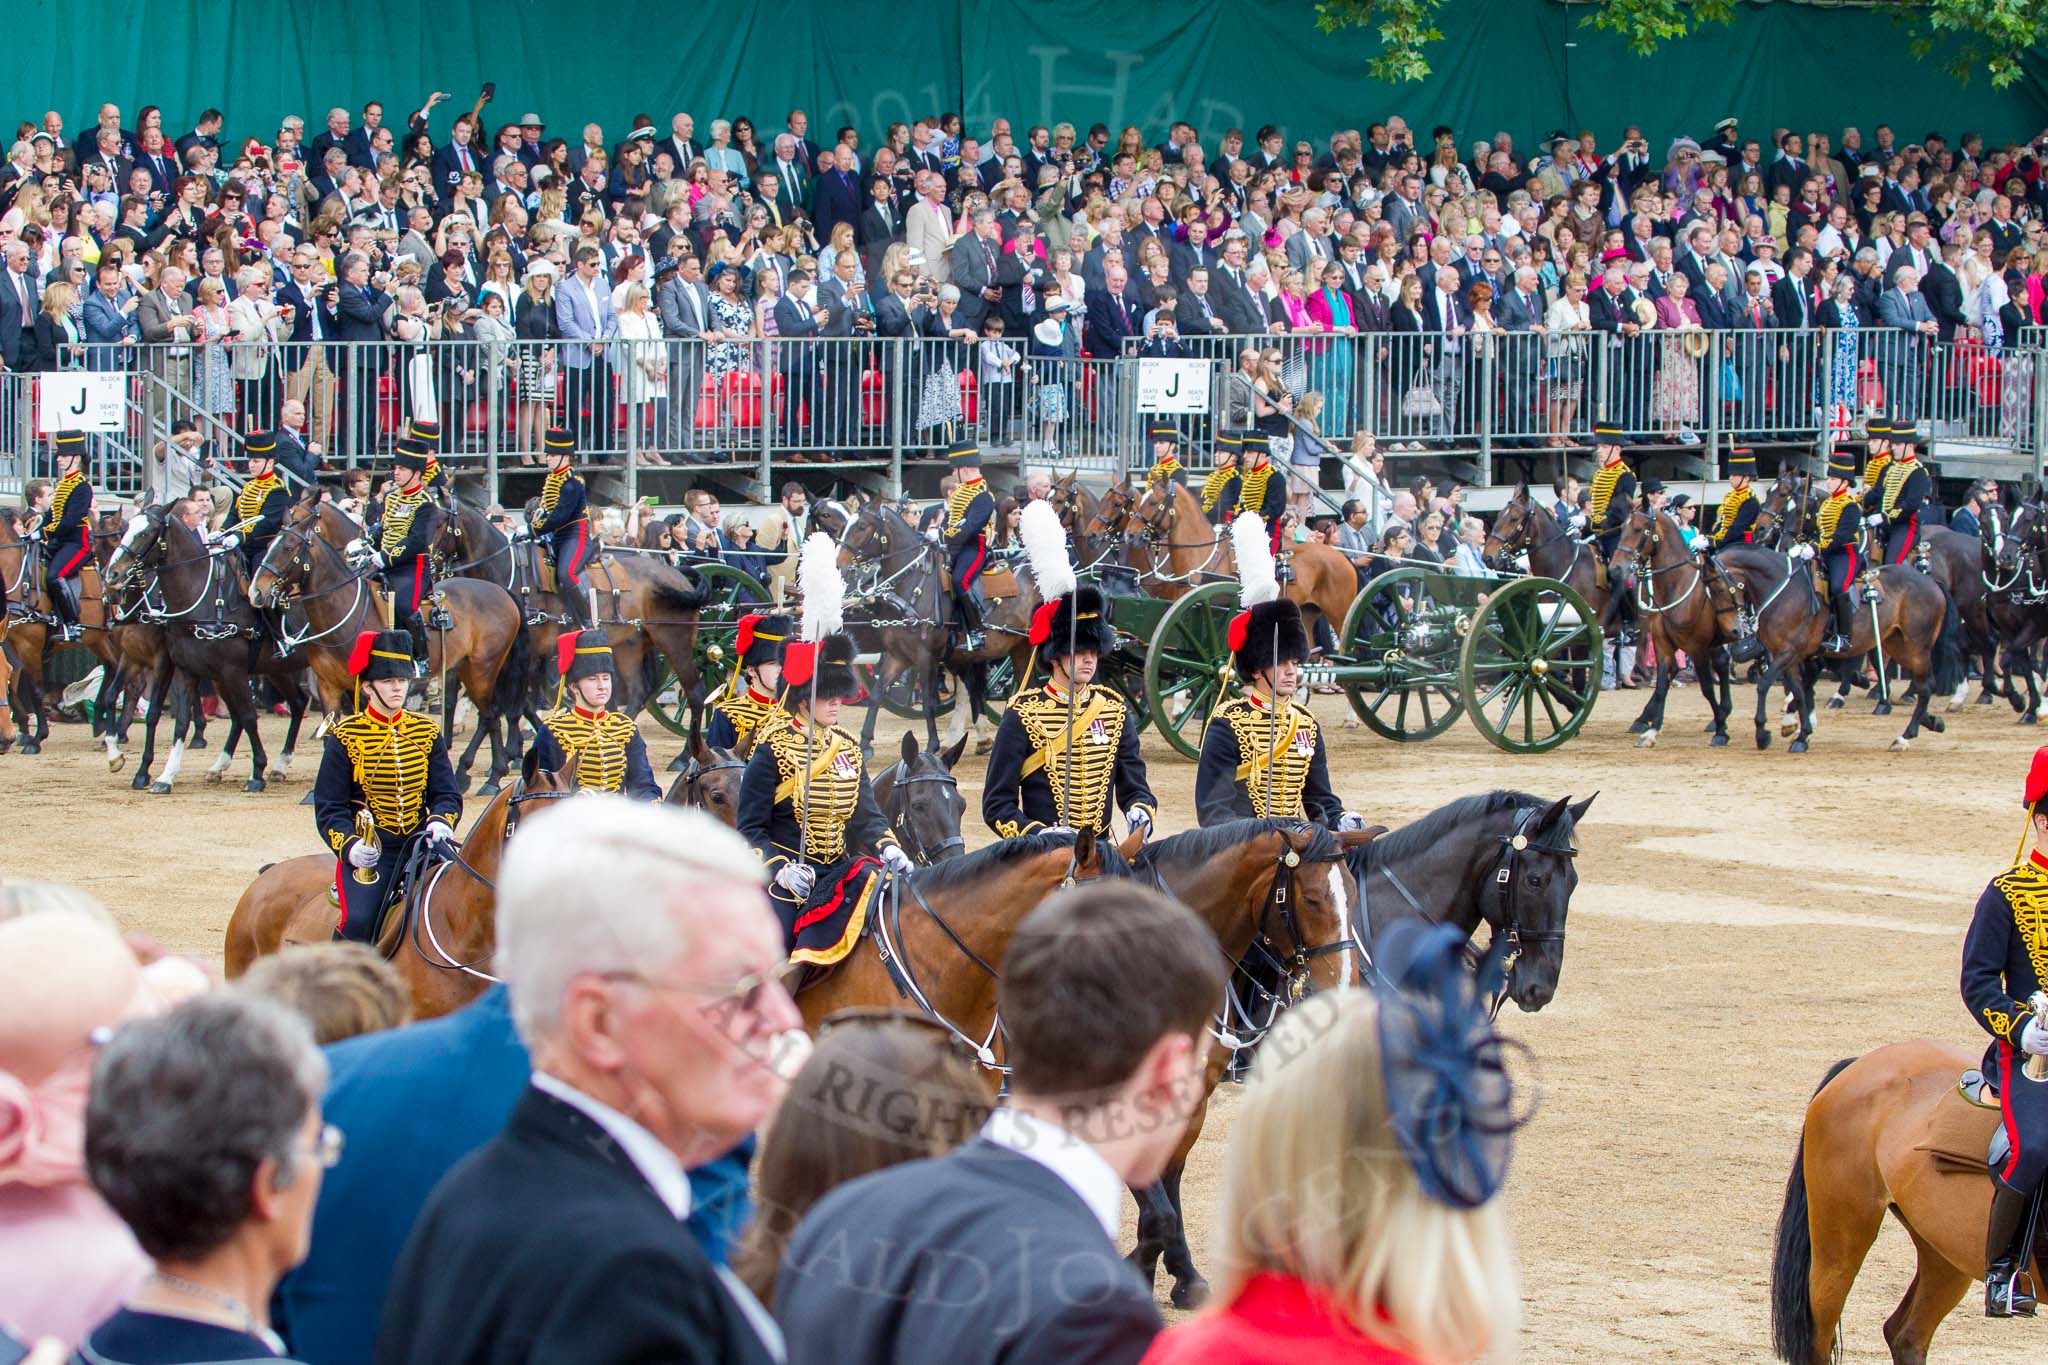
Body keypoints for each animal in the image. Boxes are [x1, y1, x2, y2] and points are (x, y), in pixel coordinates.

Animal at [248, 499, 532, 802]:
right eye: (270, 545)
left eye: (288, 547)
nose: (256, 592)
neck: (342, 610)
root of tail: (500, 592)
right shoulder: (328, 685)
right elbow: (330, 733)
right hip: (465, 667)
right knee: (486, 714)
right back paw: (465, 773)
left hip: (483, 668)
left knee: (490, 715)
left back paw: (492, 777)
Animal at [1605, 509, 1736, 749]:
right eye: (1622, 528)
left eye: (1638, 529)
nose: (1615, 569)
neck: (1676, 585)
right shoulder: (1663, 643)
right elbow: (1662, 683)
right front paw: (1651, 729)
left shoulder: (1697, 646)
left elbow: (1706, 687)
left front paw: (1722, 730)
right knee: (1721, 663)